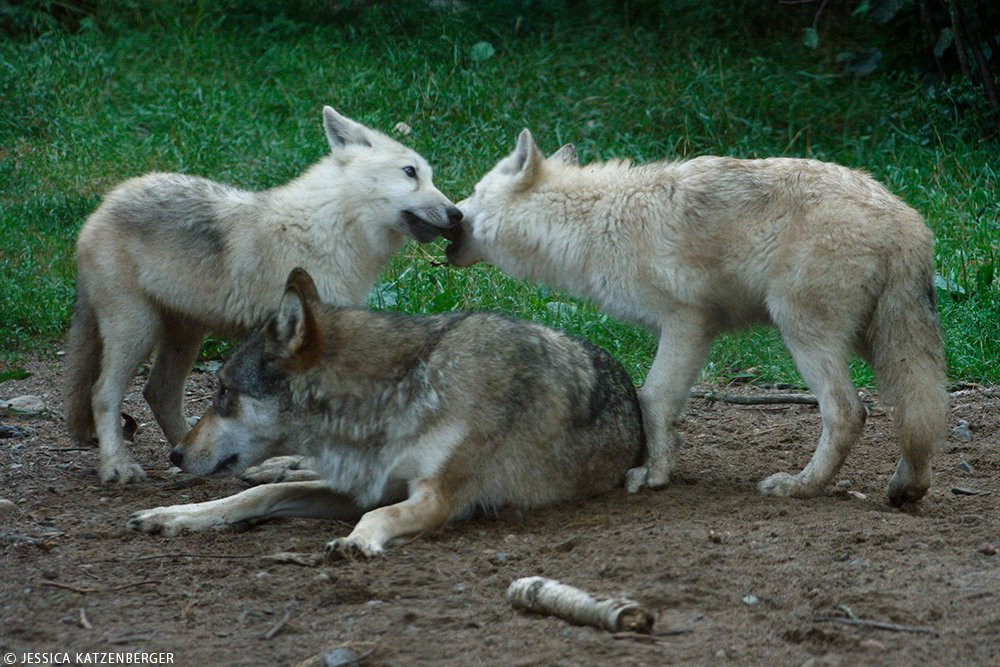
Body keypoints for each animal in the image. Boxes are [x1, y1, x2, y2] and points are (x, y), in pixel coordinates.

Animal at [64, 108, 462, 486]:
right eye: (410, 172)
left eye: (429, 176)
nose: (457, 214)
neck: (332, 229)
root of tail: (102, 206)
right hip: (138, 329)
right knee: (103, 393)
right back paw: (118, 466)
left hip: (185, 335)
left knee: (158, 392)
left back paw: (189, 457)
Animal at [129, 268, 644, 556]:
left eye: (223, 391)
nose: (175, 454)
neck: (399, 393)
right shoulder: (369, 486)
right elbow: (256, 497)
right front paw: (175, 515)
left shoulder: (433, 499)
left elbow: (376, 517)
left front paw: (357, 542)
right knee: (285, 471)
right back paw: (272, 467)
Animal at [450, 129, 948, 506]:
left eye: (473, 193)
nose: (451, 213)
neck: (592, 222)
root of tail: (904, 218)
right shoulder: (699, 333)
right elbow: (667, 407)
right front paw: (663, 464)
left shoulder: (684, 322)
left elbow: (652, 398)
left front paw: (652, 476)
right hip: (881, 345)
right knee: (919, 414)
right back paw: (907, 488)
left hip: (803, 335)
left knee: (848, 412)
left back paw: (798, 487)